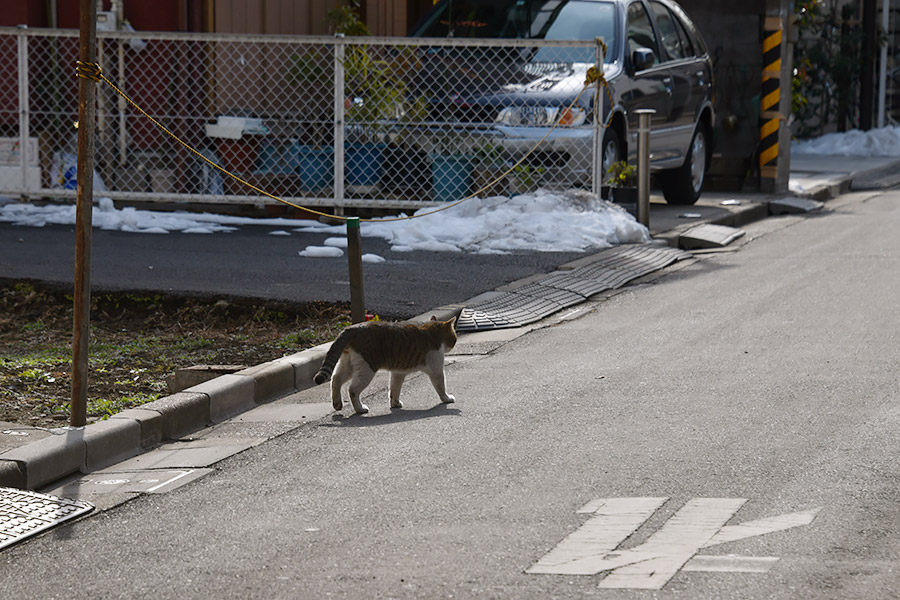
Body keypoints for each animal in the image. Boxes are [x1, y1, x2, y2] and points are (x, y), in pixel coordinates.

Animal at [314, 316, 458, 414]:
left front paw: (395, 403)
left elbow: (395, 389)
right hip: (367, 368)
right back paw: (360, 409)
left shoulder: (398, 372)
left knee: (336, 379)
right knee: (352, 389)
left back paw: (337, 403)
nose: (454, 344)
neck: (433, 331)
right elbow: (441, 387)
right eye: (455, 338)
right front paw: (447, 398)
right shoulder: (436, 370)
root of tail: (353, 328)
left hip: (349, 364)